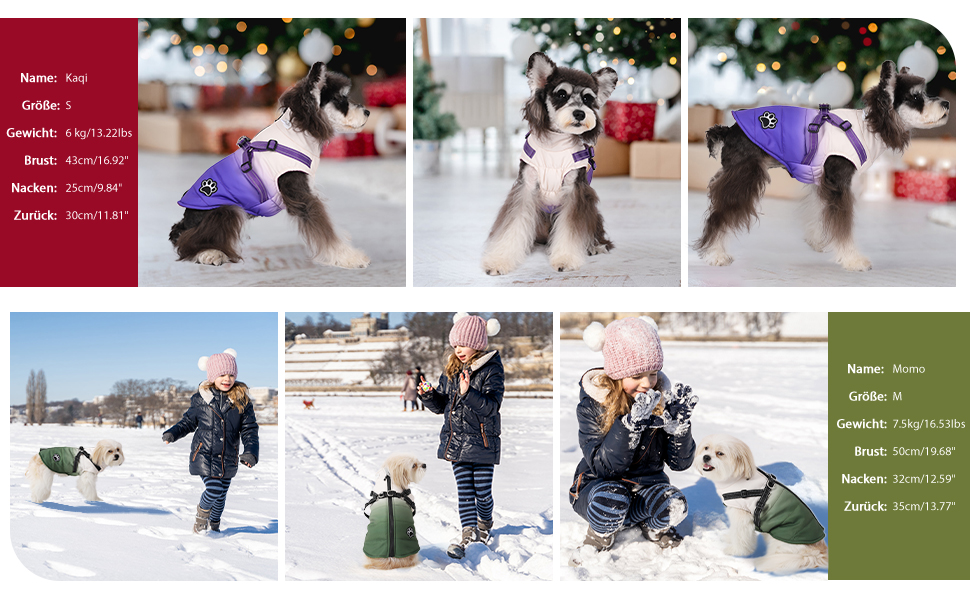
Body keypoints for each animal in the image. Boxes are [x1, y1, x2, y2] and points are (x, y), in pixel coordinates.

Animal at [480, 52, 616, 276]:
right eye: (561, 94)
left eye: (588, 98)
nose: (580, 113)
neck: (555, 145)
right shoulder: (524, 188)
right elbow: (512, 226)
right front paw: (499, 261)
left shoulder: (575, 192)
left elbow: (570, 230)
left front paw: (566, 259)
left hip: (591, 211)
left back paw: (595, 245)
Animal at [692, 59, 948, 272]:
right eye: (916, 98)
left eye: (925, 93)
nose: (946, 102)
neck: (870, 127)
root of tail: (729, 131)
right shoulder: (840, 182)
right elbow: (843, 224)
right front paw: (853, 259)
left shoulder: (823, 181)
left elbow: (820, 211)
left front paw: (818, 240)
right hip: (745, 177)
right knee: (718, 215)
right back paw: (715, 254)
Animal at [692, 434, 828, 576]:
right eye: (706, 448)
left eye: (720, 453)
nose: (706, 457)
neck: (737, 477)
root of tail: (817, 552)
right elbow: (734, 532)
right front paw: (729, 538)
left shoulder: (741, 515)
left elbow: (740, 535)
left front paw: (736, 551)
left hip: (781, 542)